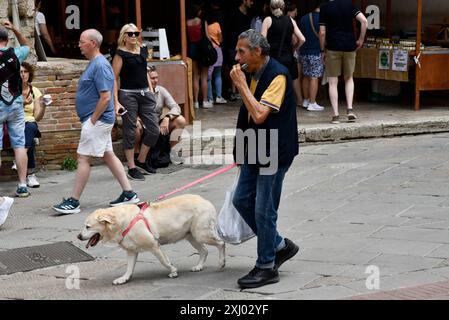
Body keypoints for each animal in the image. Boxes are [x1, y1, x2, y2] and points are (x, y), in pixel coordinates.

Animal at [78, 194, 224, 284]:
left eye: (88, 226)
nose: (78, 236)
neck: (122, 222)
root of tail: (206, 201)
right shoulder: (131, 251)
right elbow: (129, 267)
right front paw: (124, 279)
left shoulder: (154, 245)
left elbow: (164, 261)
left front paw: (173, 271)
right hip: (191, 236)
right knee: (204, 250)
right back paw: (199, 266)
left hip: (201, 233)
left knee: (221, 243)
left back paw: (222, 263)